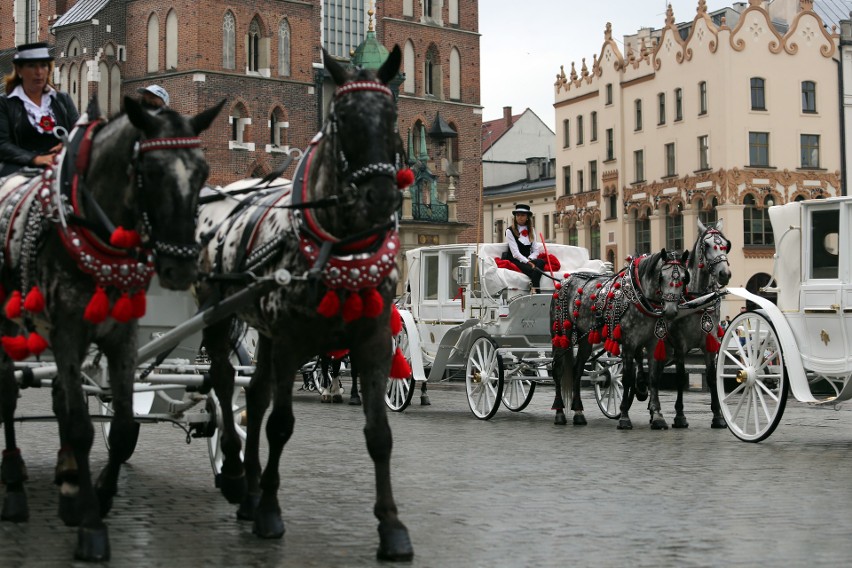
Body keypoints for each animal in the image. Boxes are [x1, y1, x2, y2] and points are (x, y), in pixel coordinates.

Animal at [0, 95, 223, 560]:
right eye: (151, 172)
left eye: (202, 171)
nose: (180, 267)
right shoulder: (67, 332)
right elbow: (81, 427)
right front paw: (90, 527)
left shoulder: (122, 337)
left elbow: (118, 428)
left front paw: (97, 496)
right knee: (8, 397)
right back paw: (13, 486)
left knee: (60, 398)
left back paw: (67, 477)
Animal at [197, 46, 416, 560]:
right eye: (342, 116)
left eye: (391, 115)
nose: (381, 196)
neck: (338, 245)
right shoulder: (293, 341)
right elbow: (281, 424)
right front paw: (270, 512)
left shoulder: (373, 342)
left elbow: (379, 434)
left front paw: (391, 527)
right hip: (221, 318)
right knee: (224, 383)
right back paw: (235, 475)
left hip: (263, 332)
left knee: (253, 396)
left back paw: (250, 490)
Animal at [548, 246, 688, 428]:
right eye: (661, 277)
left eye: (684, 278)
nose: (670, 311)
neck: (639, 295)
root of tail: (564, 280)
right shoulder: (628, 344)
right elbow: (627, 378)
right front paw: (624, 416)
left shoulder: (653, 343)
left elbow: (654, 379)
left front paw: (657, 416)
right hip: (561, 333)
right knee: (558, 370)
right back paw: (559, 412)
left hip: (585, 339)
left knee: (577, 370)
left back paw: (578, 412)